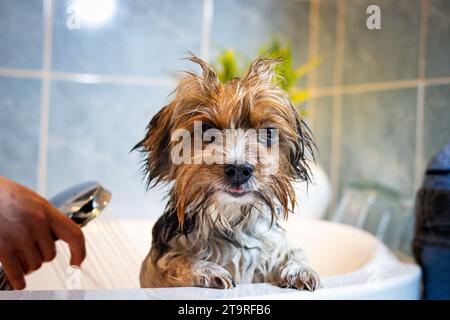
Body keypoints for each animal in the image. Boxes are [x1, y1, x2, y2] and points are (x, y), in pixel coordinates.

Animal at [134, 54, 320, 290]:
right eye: (206, 129)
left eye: (268, 132)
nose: (239, 170)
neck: (231, 219)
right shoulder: (155, 266)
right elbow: (175, 261)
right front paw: (205, 270)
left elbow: (293, 252)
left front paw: (300, 270)